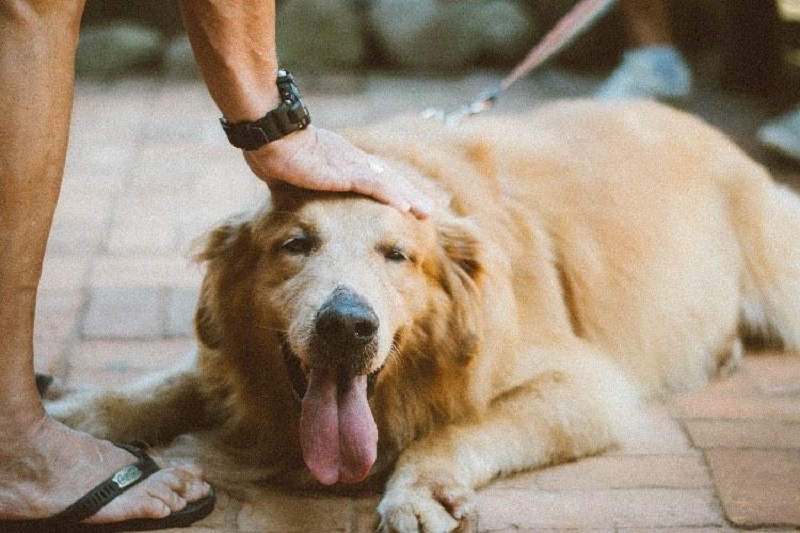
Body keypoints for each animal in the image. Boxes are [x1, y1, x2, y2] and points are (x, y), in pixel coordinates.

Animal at [50, 101, 800, 532]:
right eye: (296, 244)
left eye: (398, 255)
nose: (346, 326)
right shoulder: (227, 362)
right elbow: (164, 385)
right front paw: (75, 416)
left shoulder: (585, 386)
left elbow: (458, 426)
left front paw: (421, 488)